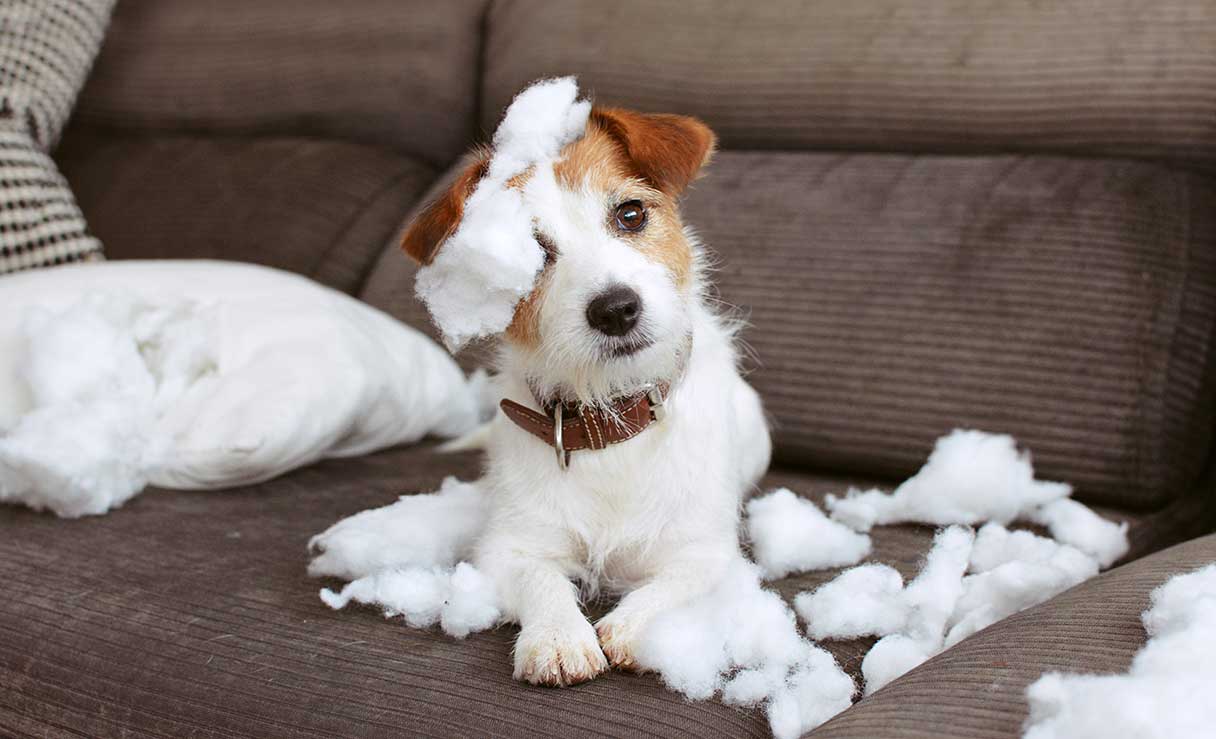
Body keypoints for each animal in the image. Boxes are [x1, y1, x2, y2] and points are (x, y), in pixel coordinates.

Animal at [398, 103, 768, 685]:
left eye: (631, 215)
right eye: (531, 253)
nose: (616, 309)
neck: (610, 417)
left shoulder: (704, 553)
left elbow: (671, 586)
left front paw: (629, 627)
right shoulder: (511, 547)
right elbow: (541, 581)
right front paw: (557, 638)